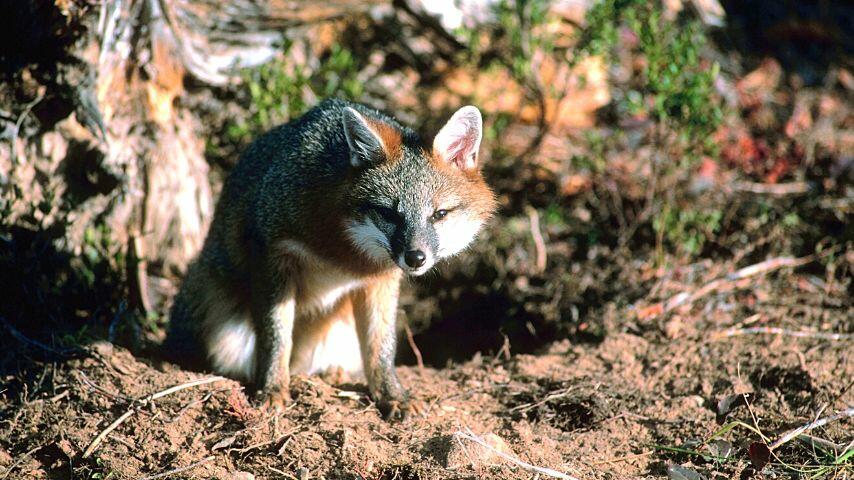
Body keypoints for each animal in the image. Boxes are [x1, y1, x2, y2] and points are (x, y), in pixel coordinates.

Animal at [167, 98, 498, 420]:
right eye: (389, 214)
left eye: (439, 214)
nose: (415, 258)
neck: (346, 254)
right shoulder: (273, 253)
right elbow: (276, 336)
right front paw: (272, 388)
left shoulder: (379, 279)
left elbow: (381, 346)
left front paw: (391, 395)